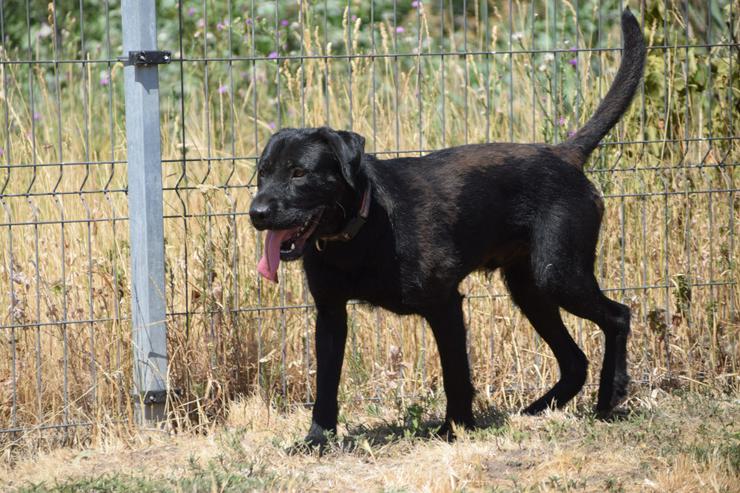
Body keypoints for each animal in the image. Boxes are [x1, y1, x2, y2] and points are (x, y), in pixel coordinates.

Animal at [249, 9, 640, 444]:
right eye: (263, 173)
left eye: (299, 173)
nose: (256, 213)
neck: (360, 231)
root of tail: (565, 154)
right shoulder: (331, 314)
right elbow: (326, 383)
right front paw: (318, 438)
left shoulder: (445, 304)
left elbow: (455, 373)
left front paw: (455, 427)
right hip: (530, 288)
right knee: (574, 361)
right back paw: (536, 410)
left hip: (559, 274)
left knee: (619, 316)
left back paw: (610, 394)